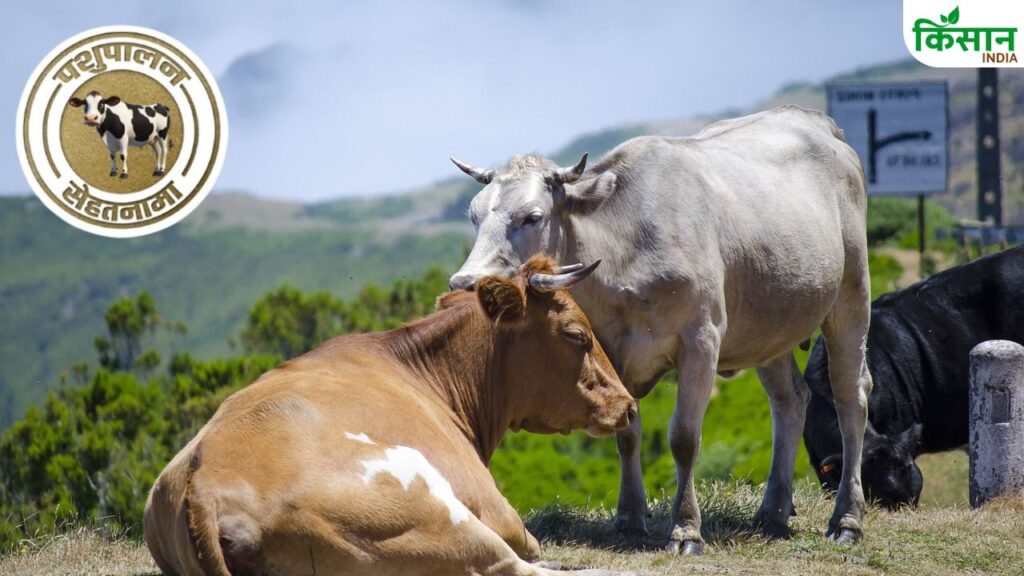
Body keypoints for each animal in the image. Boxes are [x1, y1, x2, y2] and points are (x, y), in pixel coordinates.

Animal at [144, 256, 640, 576]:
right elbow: (530, 544)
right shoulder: (498, 512)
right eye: (577, 335)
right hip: (430, 509)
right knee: (512, 566)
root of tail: (204, 485)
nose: (629, 405)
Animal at [447, 106, 873, 554]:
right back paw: (773, 513)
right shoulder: (611, 350)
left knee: (851, 399)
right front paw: (629, 517)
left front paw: (685, 529)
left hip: (851, 297)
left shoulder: (701, 340)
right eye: (474, 216)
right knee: (790, 400)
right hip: (769, 328)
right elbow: (627, 432)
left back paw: (847, 519)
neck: (625, 253)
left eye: (532, 217)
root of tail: (817, 124)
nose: (465, 283)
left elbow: (684, 436)